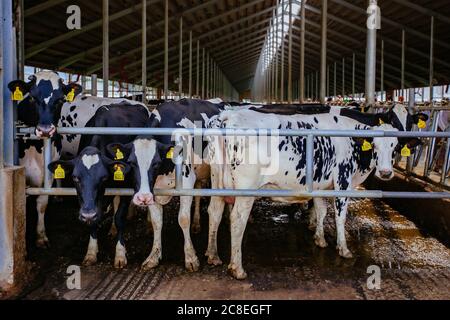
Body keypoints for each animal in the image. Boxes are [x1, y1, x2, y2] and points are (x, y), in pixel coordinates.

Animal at [48, 103, 149, 268]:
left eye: (104, 178)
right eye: (75, 178)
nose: (87, 214)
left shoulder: (126, 185)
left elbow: (120, 218)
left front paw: (120, 254)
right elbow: (95, 221)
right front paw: (91, 252)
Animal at [111, 99, 222, 272]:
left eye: (156, 162)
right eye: (131, 163)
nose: (141, 197)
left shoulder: (186, 182)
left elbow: (183, 219)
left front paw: (191, 257)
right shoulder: (153, 190)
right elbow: (157, 222)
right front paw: (153, 256)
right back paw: (197, 223)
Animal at [205, 109, 422, 278]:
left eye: (395, 146)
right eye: (374, 145)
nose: (385, 173)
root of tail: (229, 114)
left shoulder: (320, 185)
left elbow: (321, 210)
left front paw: (320, 239)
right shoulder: (343, 180)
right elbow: (340, 216)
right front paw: (343, 248)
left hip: (216, 180)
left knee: (214, 212)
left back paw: (212, 255)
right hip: (246, 189)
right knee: (237, 220)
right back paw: (237, 268)